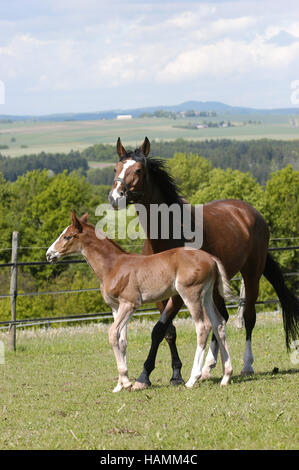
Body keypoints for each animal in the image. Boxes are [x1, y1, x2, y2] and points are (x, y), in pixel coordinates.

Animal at [47, 213, 236, 392]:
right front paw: (119, 385)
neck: (113, 266)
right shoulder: (116, 307)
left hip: (191, 294)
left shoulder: (130, 304)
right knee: (218, 323)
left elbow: (112, 334)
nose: (49, 254)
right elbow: (122, 340)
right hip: (207, 295)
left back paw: (192, 379)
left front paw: (126, 382)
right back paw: (226, 376)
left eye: (67, 236)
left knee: (203, 326)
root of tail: (211, 258)